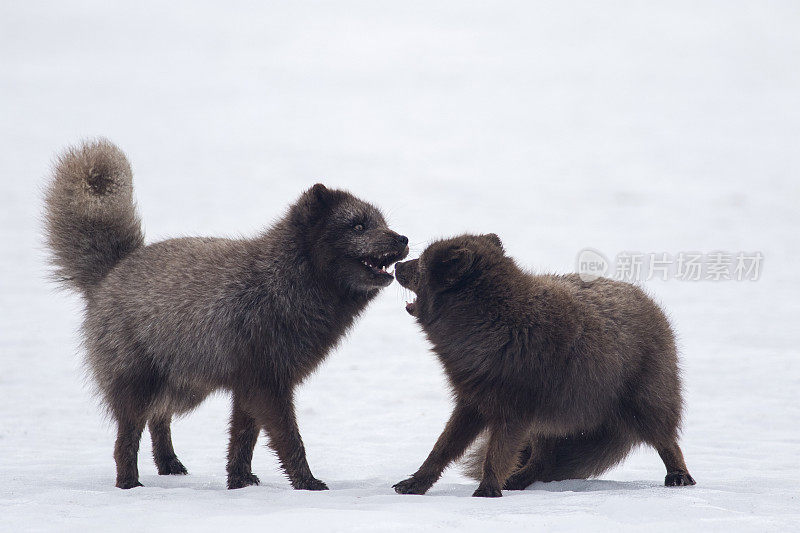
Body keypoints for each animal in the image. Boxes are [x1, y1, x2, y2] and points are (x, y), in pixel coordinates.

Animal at [43, 139, 406, 488]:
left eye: (383, 223)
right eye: (358, 226)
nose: (403, 239)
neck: (281, 283)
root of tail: (113, 269)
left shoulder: (249, 385)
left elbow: (243, 439)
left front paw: (240, 482)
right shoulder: (266, 383)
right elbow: (288, 439)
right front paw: (307, 483)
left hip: (183, 386)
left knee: (159, 418)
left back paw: (169, 466)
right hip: (138, 383)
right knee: (126, 440)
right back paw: (129, 484)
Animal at [390, 233, 692, 494]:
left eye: (422, 264)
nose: (397, 265)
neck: (497, 323)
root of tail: (646, 299)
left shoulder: (514, 411)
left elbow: (496, 454)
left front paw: (488, 491)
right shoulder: (472, 403)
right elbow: (441, 449)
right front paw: (415, 484)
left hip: (643, 404)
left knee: (667, 441)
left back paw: (679, 476)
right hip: (552, 425)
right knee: (542, 462)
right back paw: (516, 481)